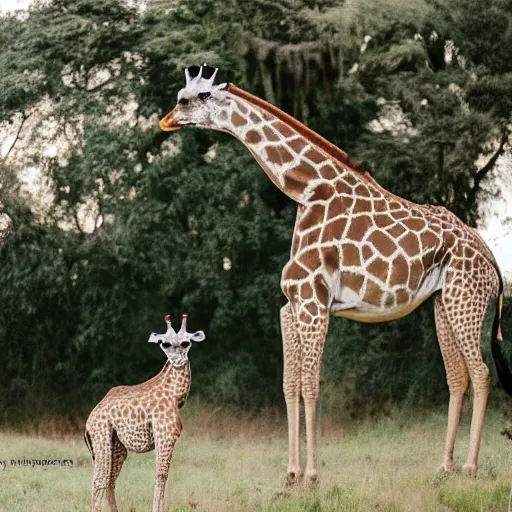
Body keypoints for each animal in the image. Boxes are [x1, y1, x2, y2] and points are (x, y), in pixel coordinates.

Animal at [83, 312, 204, 512]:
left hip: (117, 446)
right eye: (165, 344)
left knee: (109, 481)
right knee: (100, 480)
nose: (177, 359)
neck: (175, 394)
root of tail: (88, 422)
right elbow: (160, 476)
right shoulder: (165, 434)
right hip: (102, 438)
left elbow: (163, 476)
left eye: (186, 342)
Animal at [160, 65, 512, 484]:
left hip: (466, 299)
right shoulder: (291, 304)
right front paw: (291, 475)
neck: (305, 189)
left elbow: (311, 385)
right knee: (457, 376)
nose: (165, 121)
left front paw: (312, 476)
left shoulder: (314, 302)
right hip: (445, 302)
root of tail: (492, 261)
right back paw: (444, 467)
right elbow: (290, 384)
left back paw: (470, 468)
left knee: (482, 373)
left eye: (186, 99)